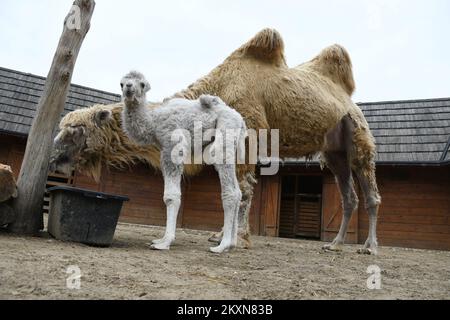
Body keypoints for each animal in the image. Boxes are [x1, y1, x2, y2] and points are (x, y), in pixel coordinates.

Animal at [118, 71, 246, 254]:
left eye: (142, 84)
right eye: (122, 83)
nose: (129, 88)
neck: (153, 122)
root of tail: (240, 120)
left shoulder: (172, 146)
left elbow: (171, 196)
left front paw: (165, 243)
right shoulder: (163, 152)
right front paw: (159, 239)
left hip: (225, 133)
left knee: (230, 191)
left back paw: (222, 246)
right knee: (238, 192)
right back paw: (232, 244)